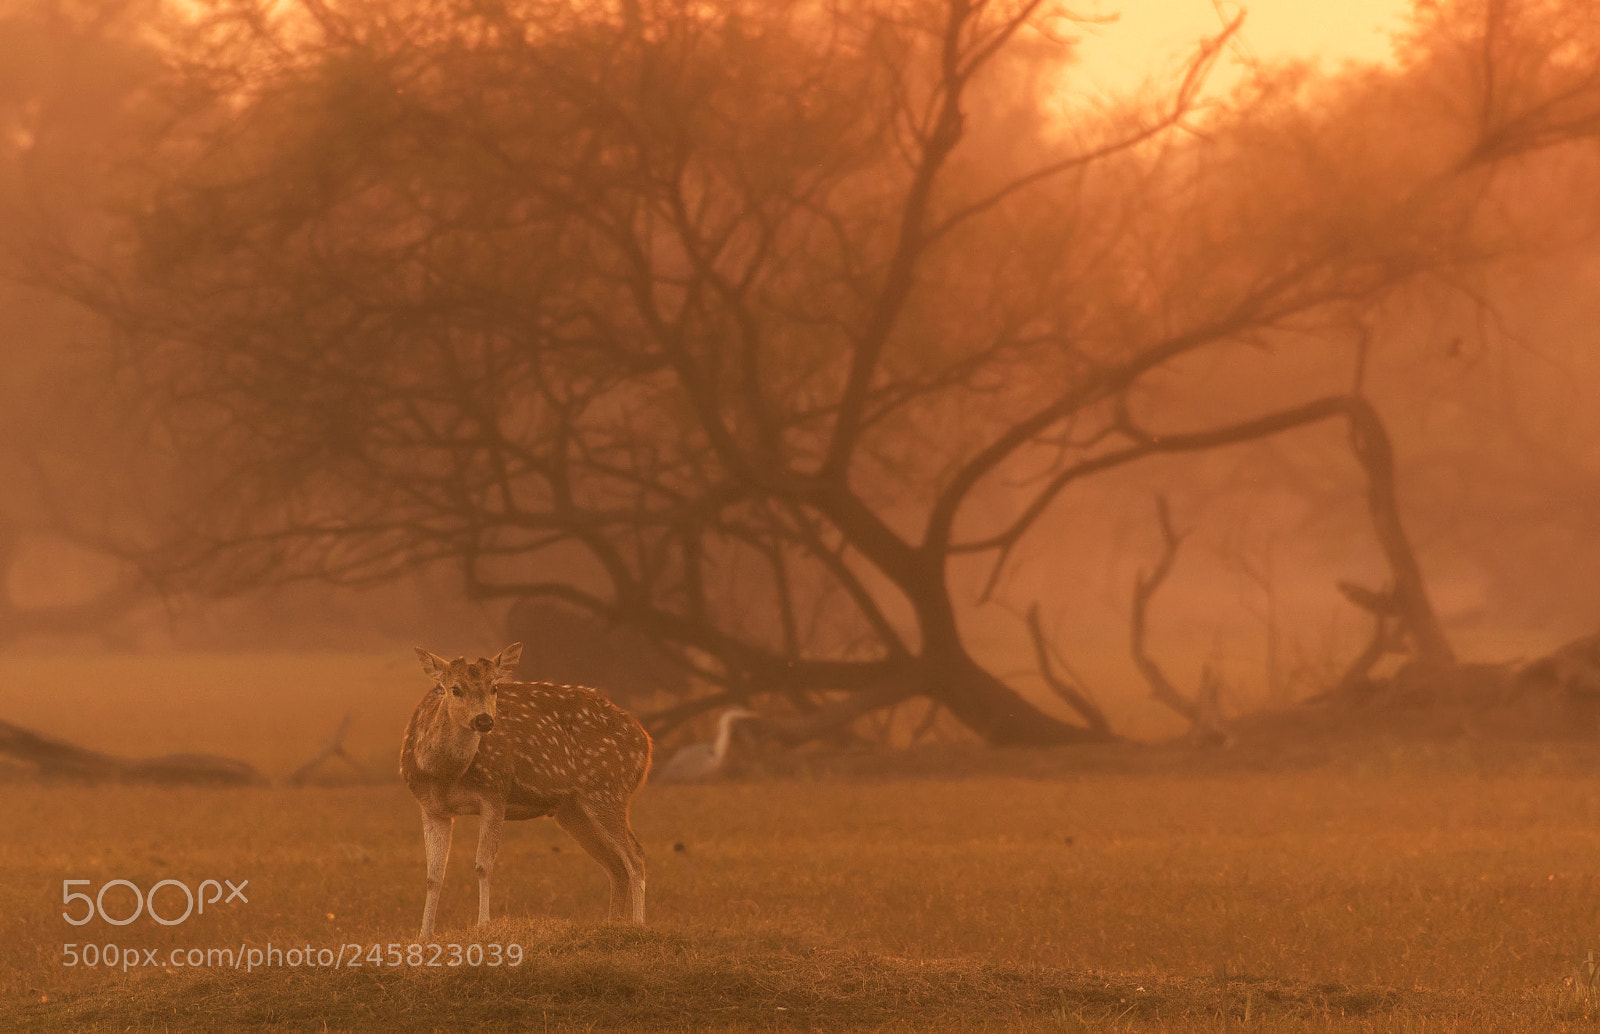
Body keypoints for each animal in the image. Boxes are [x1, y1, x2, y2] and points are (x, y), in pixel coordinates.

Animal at [399, 643, 652, 939]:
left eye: (494, 687)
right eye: (455, 688)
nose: (484, 720)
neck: (443, 774)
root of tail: (646, 744)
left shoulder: (495, 790)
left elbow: (483, 864)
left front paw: (483, 925)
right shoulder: (432, 807)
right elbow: (433, 875)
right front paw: (424, 936)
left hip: (608, 788)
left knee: (635, 855)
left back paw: (638, 926)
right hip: (572, 810)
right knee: (615, 865)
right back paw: (612, 925)